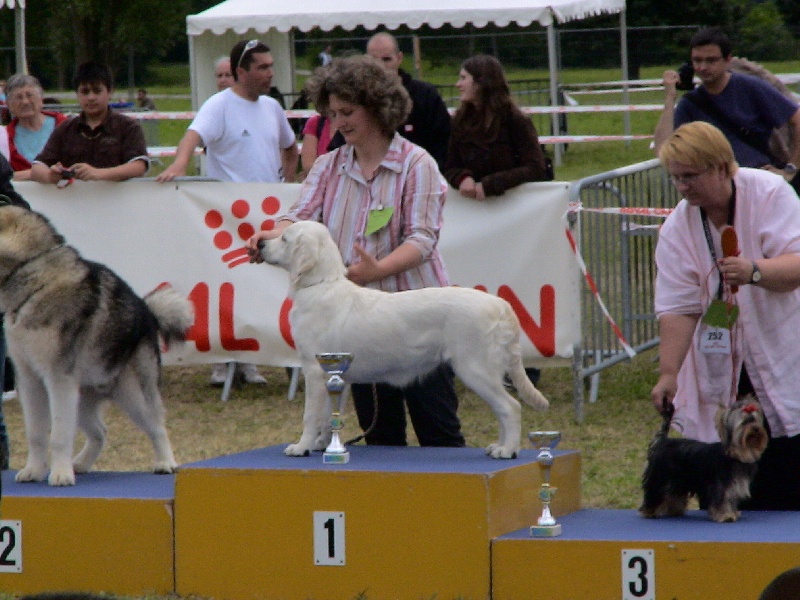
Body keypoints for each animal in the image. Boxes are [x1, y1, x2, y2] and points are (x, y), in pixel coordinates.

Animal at [0, 204, 194, 486]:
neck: (34, 279)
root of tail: (148, 312)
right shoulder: (30, 380)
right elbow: (35, 433)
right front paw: (34, 471)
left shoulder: (58, 379)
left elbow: (59, 435)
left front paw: (60, 474)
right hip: (80, 400)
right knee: (100, 432)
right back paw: (80, 463)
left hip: (133, 395)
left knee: (156, 425)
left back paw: (165, 462)